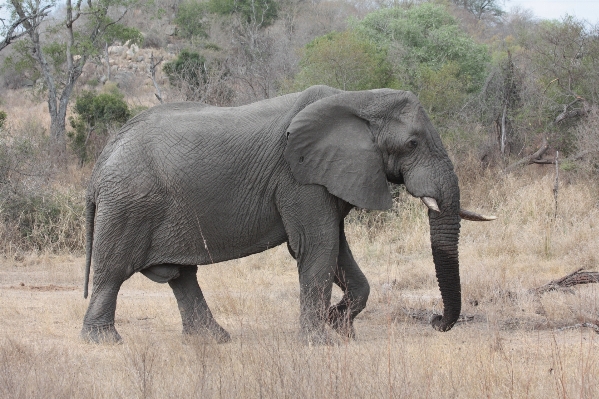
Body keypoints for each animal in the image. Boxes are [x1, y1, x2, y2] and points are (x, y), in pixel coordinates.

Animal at [82, 86, 494, 346]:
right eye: (411, 144)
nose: (436, 321)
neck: (358, 100)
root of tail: (100, 163)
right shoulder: (298, 176)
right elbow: (317, 246)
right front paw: (321, 343)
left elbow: (336, 249)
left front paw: (340, 328)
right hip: (129, 203)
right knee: (114, 271)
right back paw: (104, 341)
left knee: (182, 276)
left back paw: (214, 340)